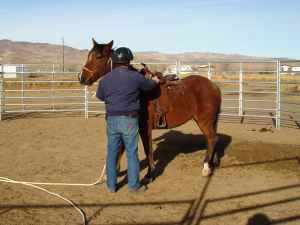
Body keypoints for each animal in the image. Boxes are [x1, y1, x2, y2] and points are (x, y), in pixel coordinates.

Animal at [78, 38, 221, 179]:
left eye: (98, 56)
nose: (81, 77)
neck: (141, 92)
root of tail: (213, 86)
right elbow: (122, 147)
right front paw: (115, 171)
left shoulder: (144, 127)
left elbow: (148, 149)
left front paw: (149, 174)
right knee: (212, 139)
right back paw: (212, 163)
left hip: (204, 121)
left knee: (211, 139)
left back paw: (206, 168)